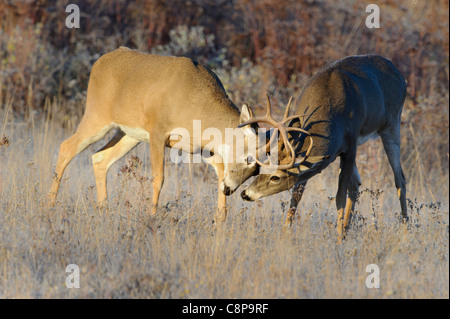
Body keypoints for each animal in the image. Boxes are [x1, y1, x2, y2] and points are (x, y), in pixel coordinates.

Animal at [46, 47, 260, 221]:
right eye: (249, 158)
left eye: (258, 168)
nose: (230, 189)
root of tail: (101, 61)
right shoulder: (158, 132)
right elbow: (159, 178)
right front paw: (152, 216)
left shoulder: (203, 148)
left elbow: (220, 172)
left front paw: (220, 220)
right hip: (97, 116)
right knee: (67, 147)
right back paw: (49, 205)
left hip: (128, 135)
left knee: (99, 158)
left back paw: (103, 211)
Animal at [241, 55, 410, 240]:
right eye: (261, 169)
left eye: (276, 178)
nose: (245, 194)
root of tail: (399, 74)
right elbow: (297, 194)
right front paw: (285, 232)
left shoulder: (350, 145)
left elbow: (339, 196)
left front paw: (338, 238)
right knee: (356, 185)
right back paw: (347, 229)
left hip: (391, 124)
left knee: (400, 179)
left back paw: (405, 229)